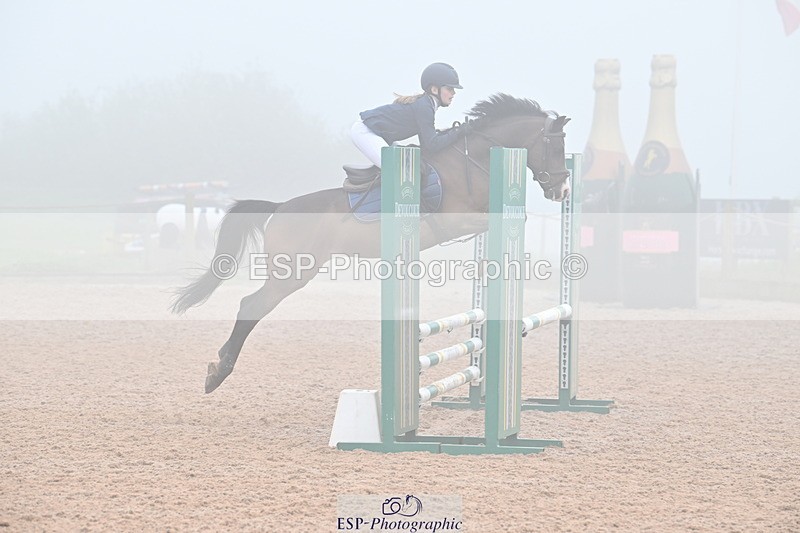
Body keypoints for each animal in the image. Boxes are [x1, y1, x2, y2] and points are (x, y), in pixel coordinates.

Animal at [171, 94, 571, 393]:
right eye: (554, 148)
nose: (563, 191)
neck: (472, 161)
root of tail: (281, 206)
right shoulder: (456, 220)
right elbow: (511, 219)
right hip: (292, 272)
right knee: (250, 306)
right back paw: (218, 372)